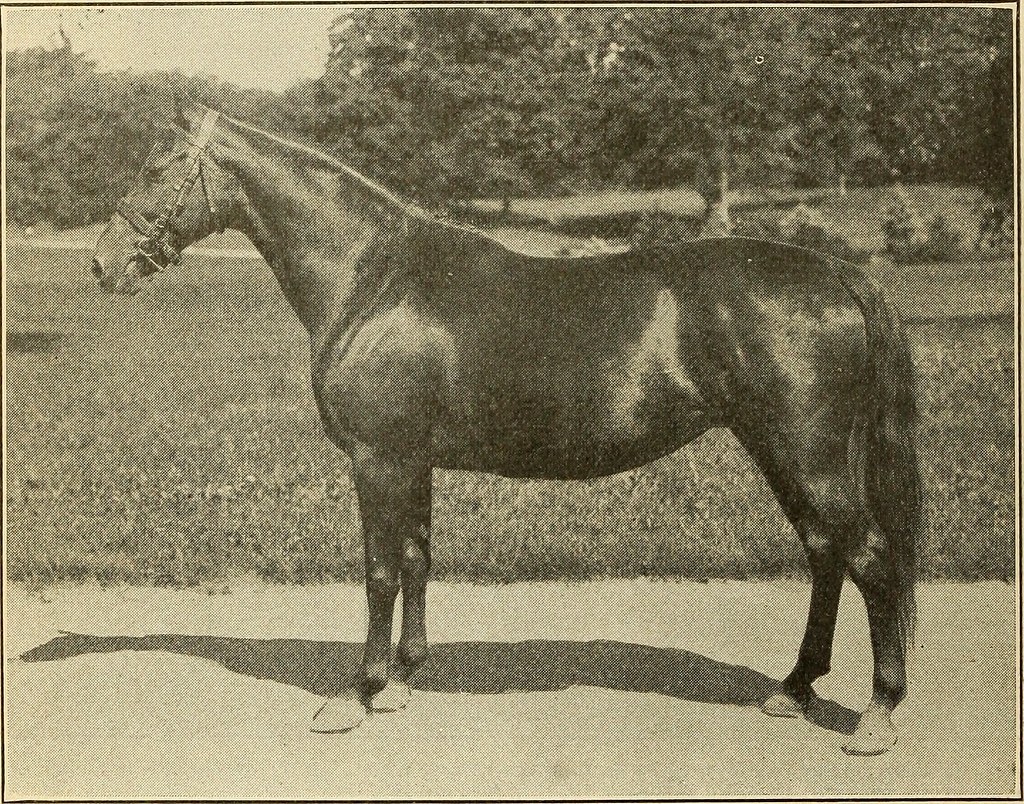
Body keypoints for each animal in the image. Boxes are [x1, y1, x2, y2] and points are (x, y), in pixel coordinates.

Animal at [91, 101, 922, 756]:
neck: (374, 277)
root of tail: (840, 273)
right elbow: (419, 560)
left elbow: (380, 571)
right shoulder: (413, 460)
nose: (104, 265)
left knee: (869, 557)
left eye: (158, 167)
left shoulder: (378, 458)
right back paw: (794, 686)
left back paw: (877, 716)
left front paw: (356, 694)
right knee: (824, 554)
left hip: (805, 450)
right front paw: (402, 681)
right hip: (779, 448)